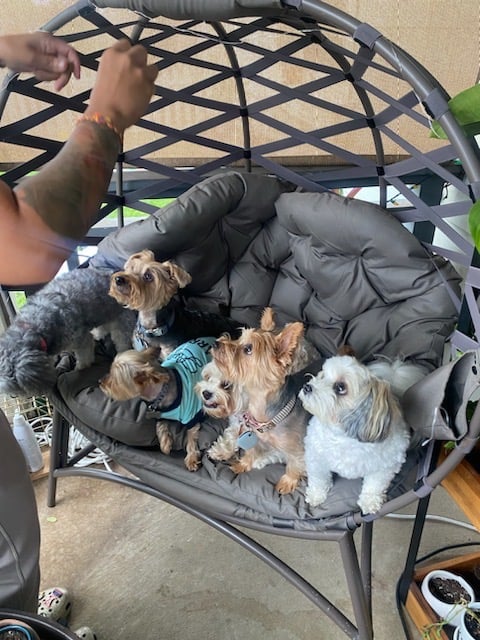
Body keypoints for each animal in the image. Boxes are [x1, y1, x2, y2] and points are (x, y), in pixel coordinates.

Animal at [0, 267, 135, 397]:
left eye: (19, 388)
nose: (13, 396)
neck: (33, 326)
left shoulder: (81, 340)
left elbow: (84, 357)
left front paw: (80, 367)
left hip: (121, 323)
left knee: (122, 341)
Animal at [100, 337, 216, 471]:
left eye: (114, 380)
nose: (99, 382)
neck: (160, 394)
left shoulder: (191, 416)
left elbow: (191, 437)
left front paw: (191, 458)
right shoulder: (160, 414)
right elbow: (160, 427)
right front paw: (165, 444)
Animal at [211, 316, 311, 494]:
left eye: (248, 349)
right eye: (239, 337)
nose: (216, 343)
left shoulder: (298, 449)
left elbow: (294, 465)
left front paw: (287, 482)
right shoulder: (254, 436)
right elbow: (251, 450)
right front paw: (243, 464)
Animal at [298, 354, 411, 514]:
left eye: (340, 387)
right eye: (322, 375)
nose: (307, 387)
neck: (342, 437)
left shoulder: (386, 466)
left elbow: (375, 485)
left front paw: (369, 502)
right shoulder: (315, 458)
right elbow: (319, 479)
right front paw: (316, 495)